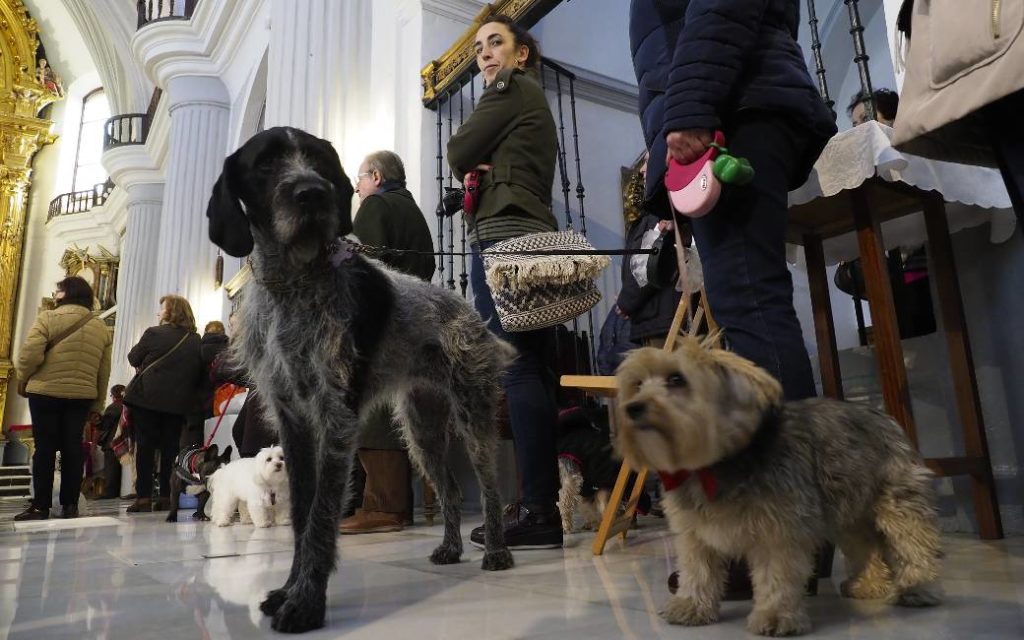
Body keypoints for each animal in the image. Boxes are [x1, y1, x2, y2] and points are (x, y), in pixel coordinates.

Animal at [204, 127, 516, 630]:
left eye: (317, 160)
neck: (294, 282)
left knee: (488, 487)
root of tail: (472, 316)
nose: (313, 193)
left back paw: (498, 551)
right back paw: (450, 547)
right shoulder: (294, 423)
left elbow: (321, 518)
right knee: (448, 489)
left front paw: (306, 603)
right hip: (423, 431)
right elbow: (302, 513)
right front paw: (289, 590)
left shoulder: (336, 419)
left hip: (473, 419)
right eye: (265, 163)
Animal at [614, 337, 942, 634]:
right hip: (849, 512)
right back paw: (868, 583)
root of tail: (884, 415)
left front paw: (775, 616)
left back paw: (916, 586)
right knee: (865, 547)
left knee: (914, 542)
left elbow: (776, 576)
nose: (631, 408)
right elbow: (698, 570)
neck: (715, 466)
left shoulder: (778, 531)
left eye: (676, 379)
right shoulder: (695, 535)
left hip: (896, 503)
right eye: (638, 384)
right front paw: (691, 605)